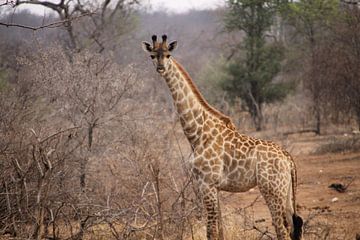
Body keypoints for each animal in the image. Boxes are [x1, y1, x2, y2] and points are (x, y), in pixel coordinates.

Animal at [141, 35, 304, 240]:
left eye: (168, 55)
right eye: (153, 55)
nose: (160, 68)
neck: (197, 134)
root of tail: (289, 159)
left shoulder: (207, 183)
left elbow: (211, 230)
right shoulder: (213, 186)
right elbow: (220, 230)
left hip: (272, 190)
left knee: (281, 229)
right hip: (286, 192)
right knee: (294, 226)